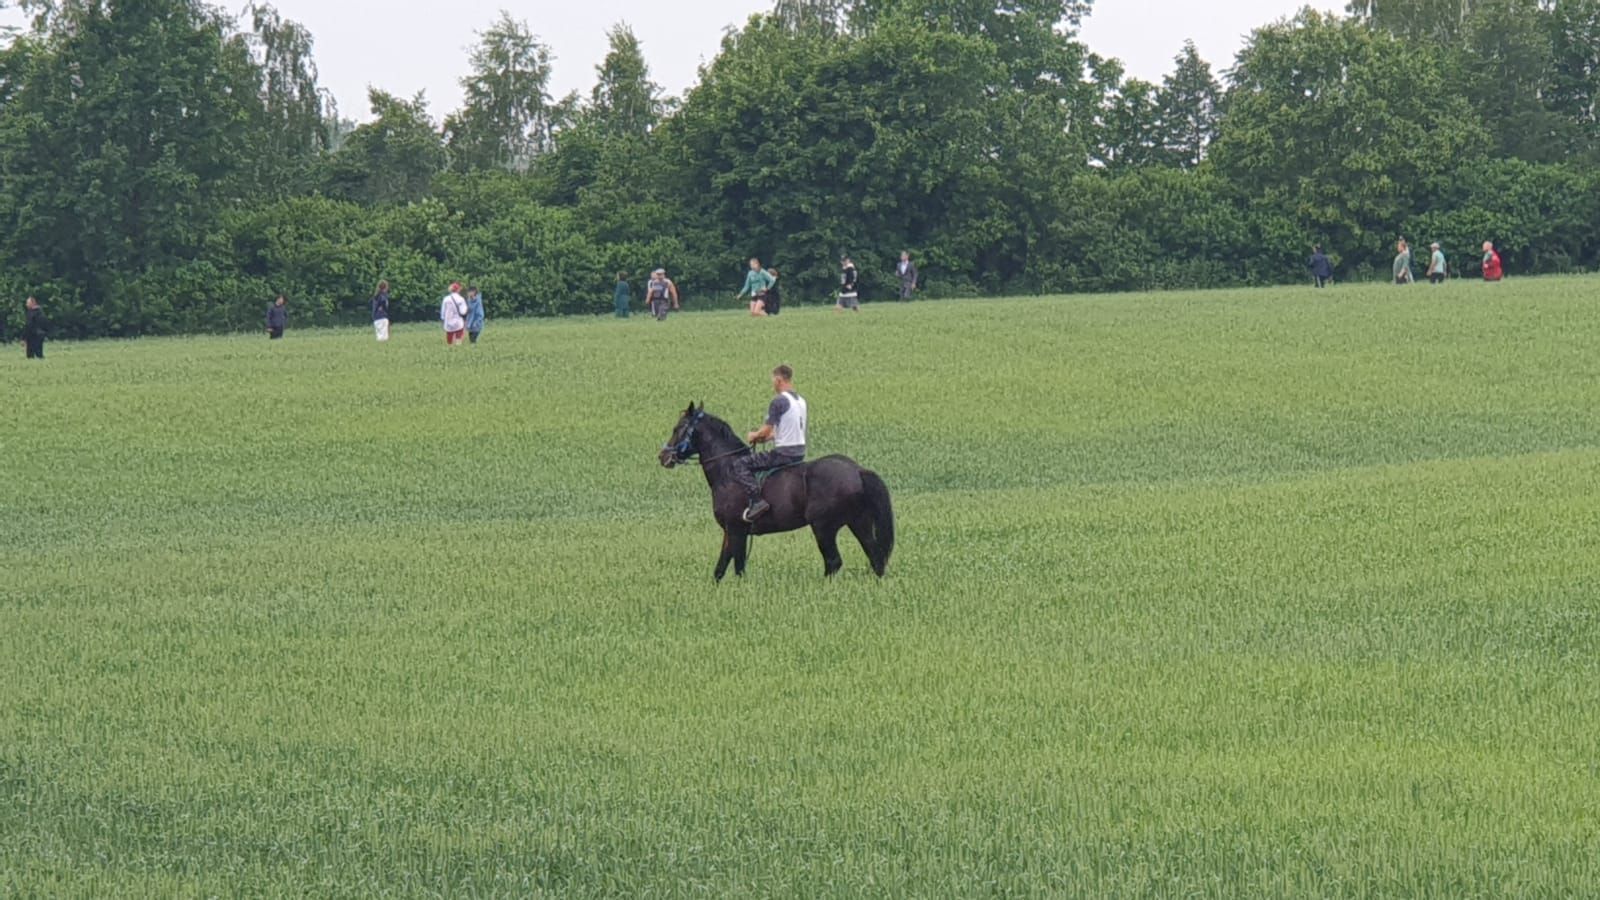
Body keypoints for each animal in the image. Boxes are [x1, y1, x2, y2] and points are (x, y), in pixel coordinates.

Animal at [656, 403, 896, 576]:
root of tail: (857, 470)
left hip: (823, 527)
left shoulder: (736, 529)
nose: (663, 456)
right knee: (875, 556)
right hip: (859, 522)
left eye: (677, 428)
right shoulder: (730, 532)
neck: (727, 472)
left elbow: (736, 567)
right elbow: (721, 569)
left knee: (834, 561)